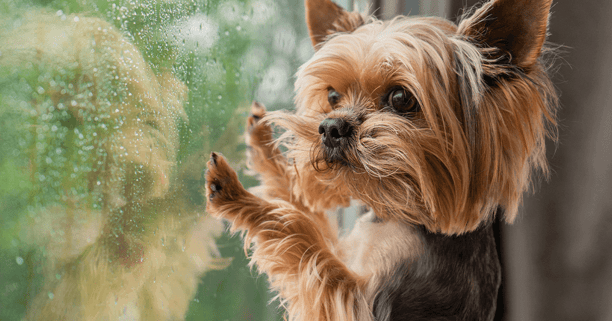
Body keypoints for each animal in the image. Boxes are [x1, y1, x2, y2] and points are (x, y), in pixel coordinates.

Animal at [207, 0, 560, 318]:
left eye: (401, 98)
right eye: (332, 96)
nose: (330, 127)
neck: (398, 216)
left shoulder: (360, 302)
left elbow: (299, 231)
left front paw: (238, 195)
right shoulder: (345, 254)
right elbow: (310, 216)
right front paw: (262, 145)